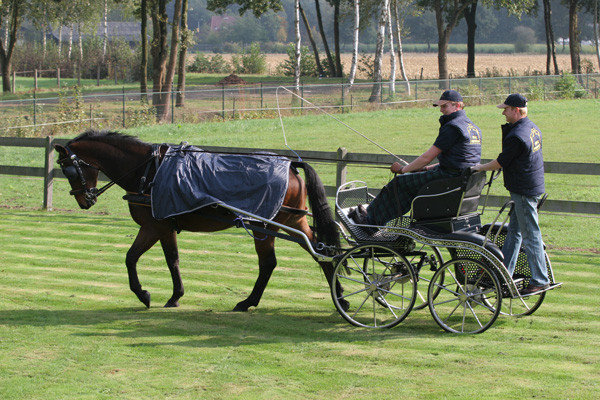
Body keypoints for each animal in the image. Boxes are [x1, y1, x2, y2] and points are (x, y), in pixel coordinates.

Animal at [56, 130, 346, 310]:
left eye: (69, 170)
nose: (84, 201)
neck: (150, 171)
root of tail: (290, 166)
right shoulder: (166, 227)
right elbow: (172, 260)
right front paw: (175, 296)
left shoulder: (154, 226)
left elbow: (131, 258)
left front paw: (143, 294)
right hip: (293, 222)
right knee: (321, 250)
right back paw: (341, 296)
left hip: (264, 227)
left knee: (269, 264)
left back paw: (248, 301)